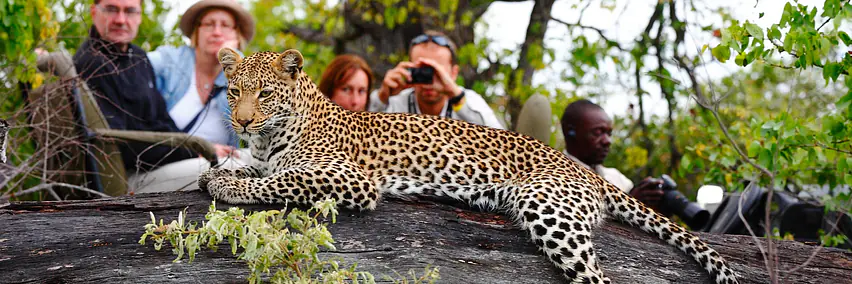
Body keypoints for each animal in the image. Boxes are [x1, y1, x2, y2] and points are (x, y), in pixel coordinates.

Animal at [198, 48, 740, 284]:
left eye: (265, 94)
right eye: (235, 91)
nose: (241, 121)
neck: (270, 135)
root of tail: (585, 169)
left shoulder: (351, 178)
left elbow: (281, 180)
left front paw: (227, 188)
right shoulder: (263, 157)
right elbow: (256, 171)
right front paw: (216, 173)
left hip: (550, 208)